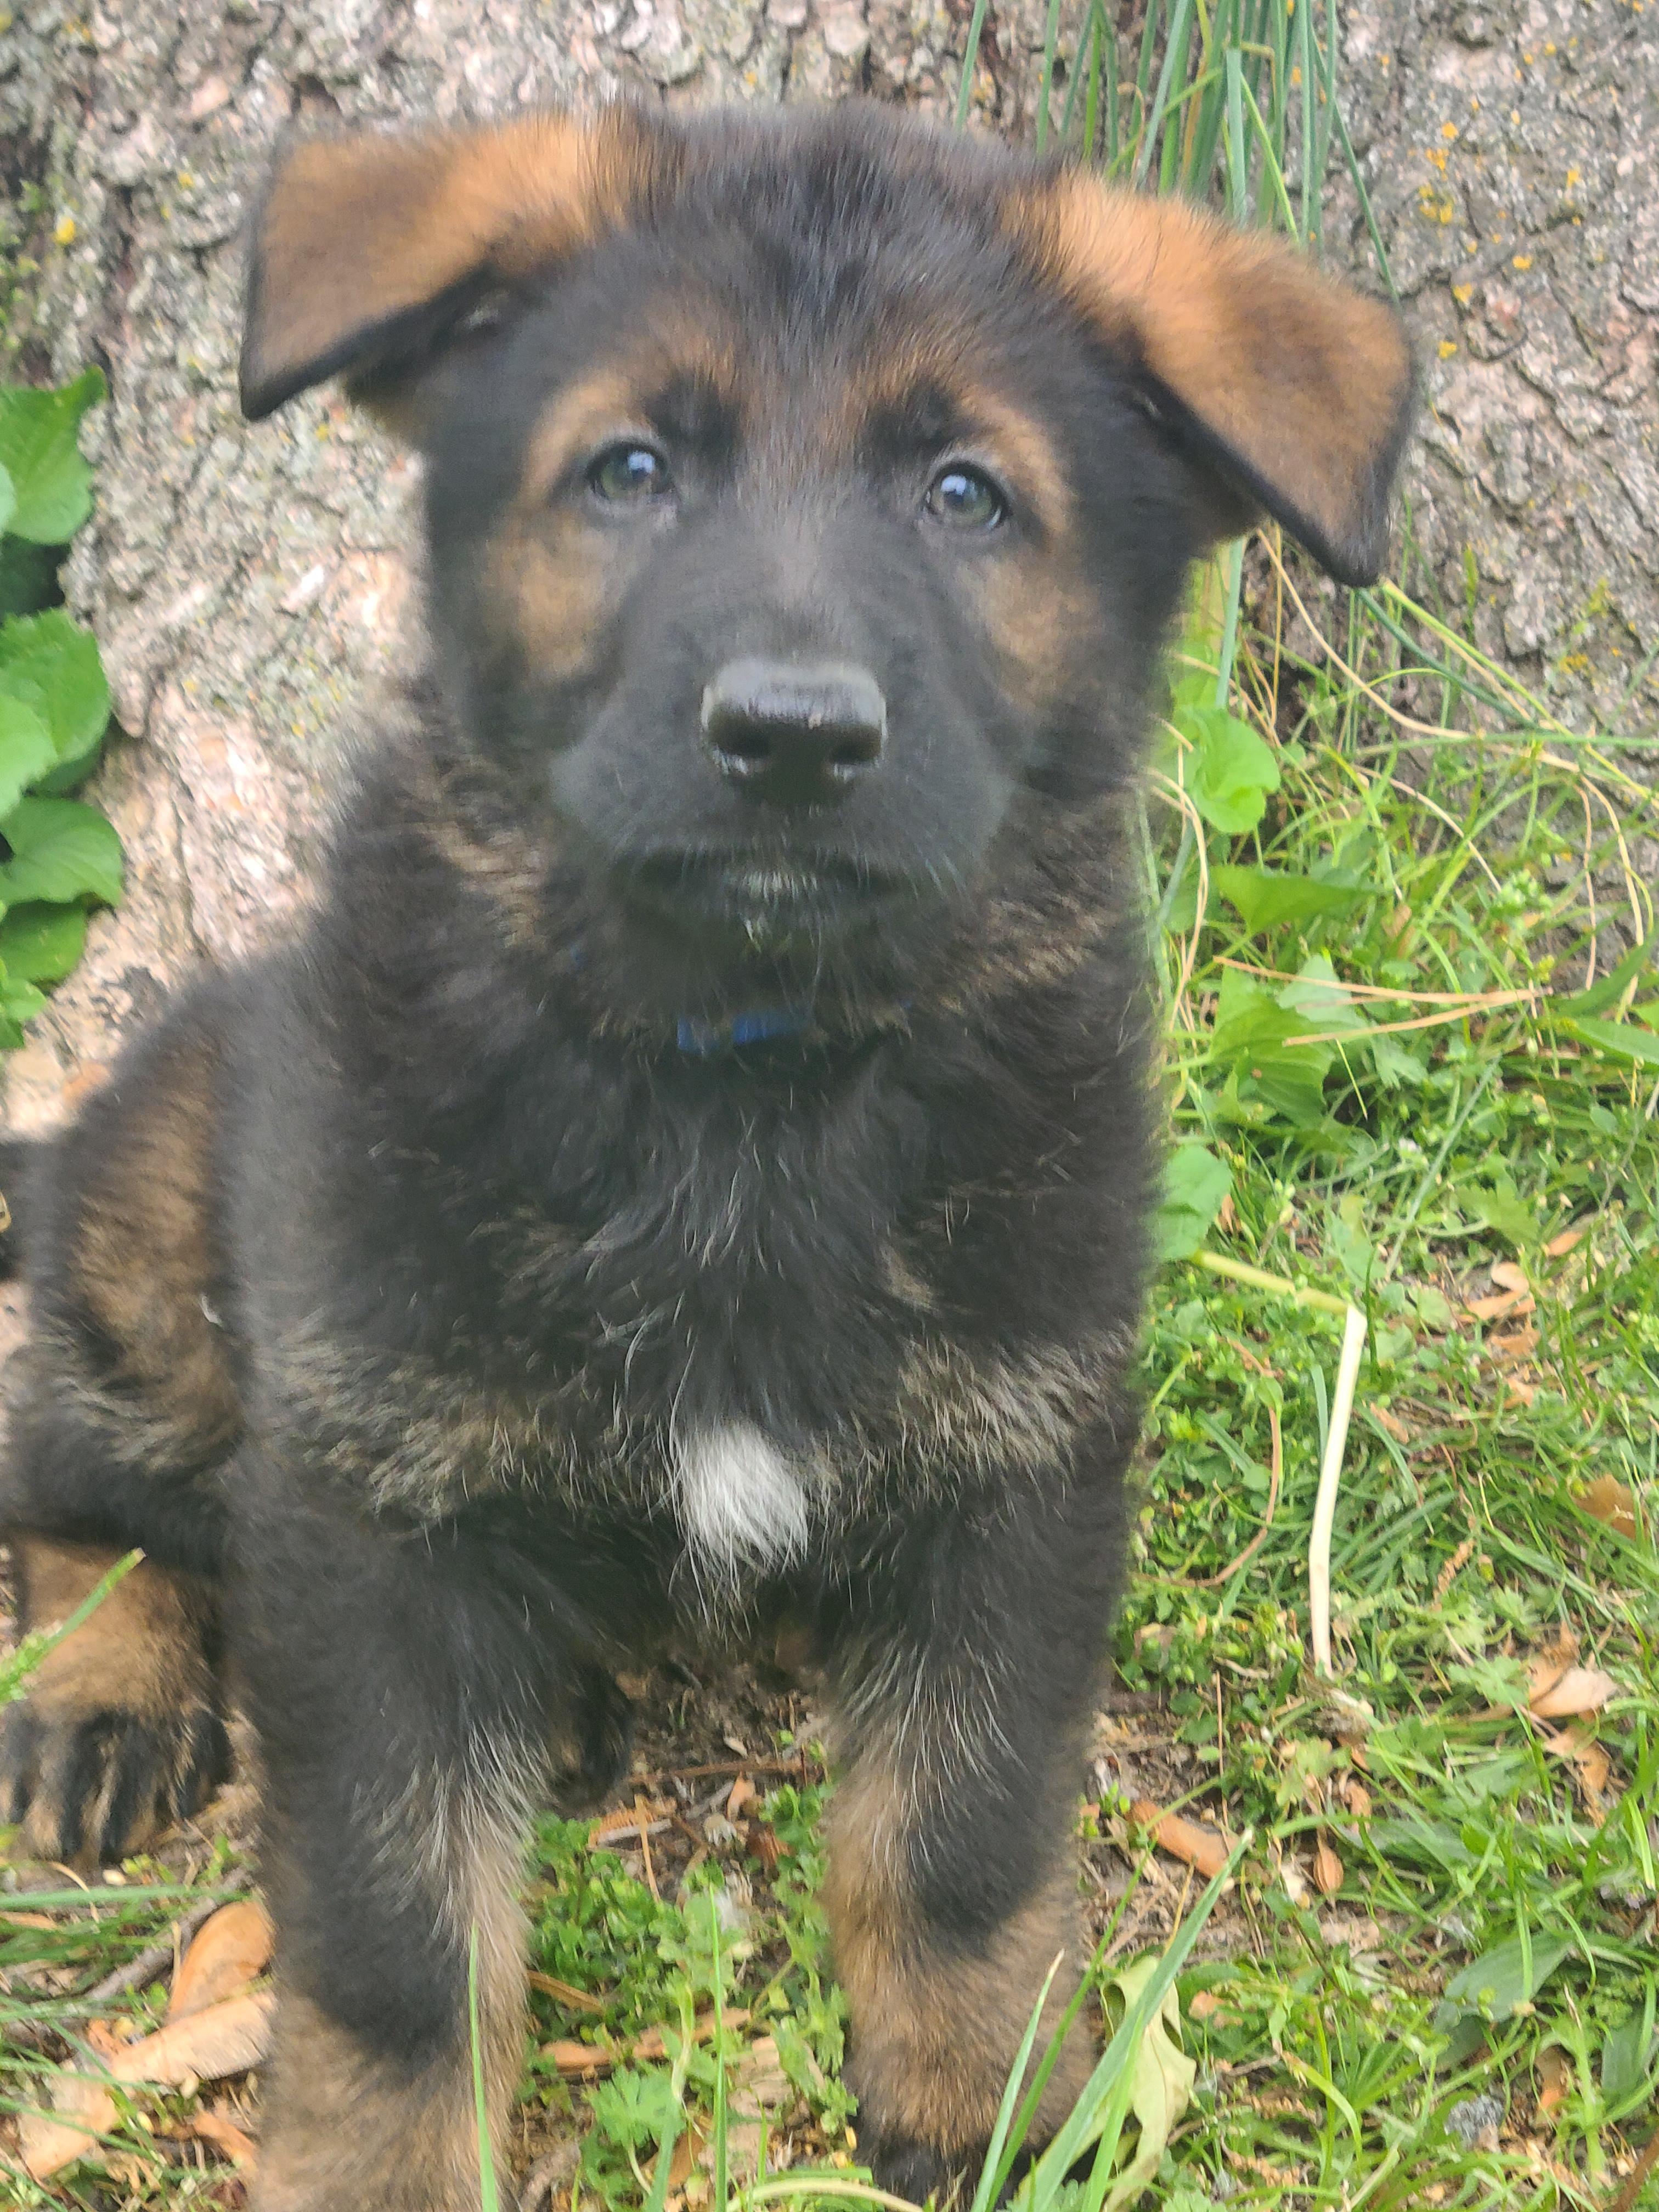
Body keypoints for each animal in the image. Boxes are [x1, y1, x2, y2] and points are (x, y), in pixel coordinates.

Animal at [0, 98, 1412, 2211]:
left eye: (968, 496)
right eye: (632, 471)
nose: (793, 739)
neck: (741, 1070)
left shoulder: (1019, 1467)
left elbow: (963, 1833)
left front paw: (979, 2091)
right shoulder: (361, 1508)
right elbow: (394, 1940)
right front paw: (377, 2167)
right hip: (166, 1264)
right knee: (70, 1469)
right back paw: (102, 1682)